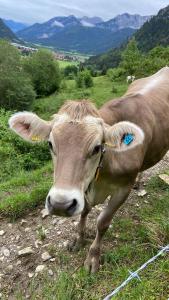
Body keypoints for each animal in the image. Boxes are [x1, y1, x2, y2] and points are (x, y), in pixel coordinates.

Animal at [9, 67, 169, 272]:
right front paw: (79, 240)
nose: (60, 204)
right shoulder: (83, 188)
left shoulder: (122, 189)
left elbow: (102, 222)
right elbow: (84, 211)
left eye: (96, 147)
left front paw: (93, 257)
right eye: (50, 144)